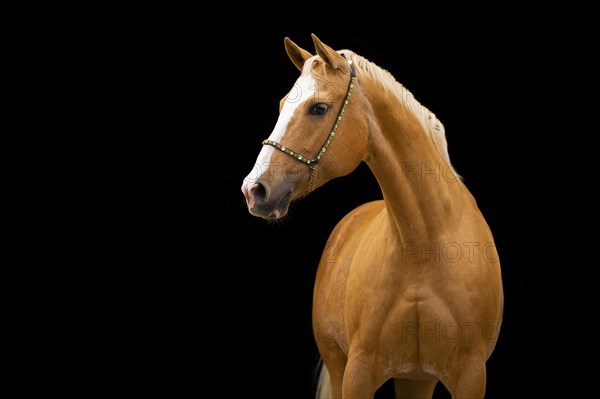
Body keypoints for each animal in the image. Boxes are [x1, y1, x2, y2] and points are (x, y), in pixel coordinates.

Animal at [241, 35, 504, 399]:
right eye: (281, 107)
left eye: (318, 108)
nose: (254, 189)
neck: (424, 247)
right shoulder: (358, 372)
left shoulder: (471, 376)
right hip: (339, 365)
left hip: (416, 379)